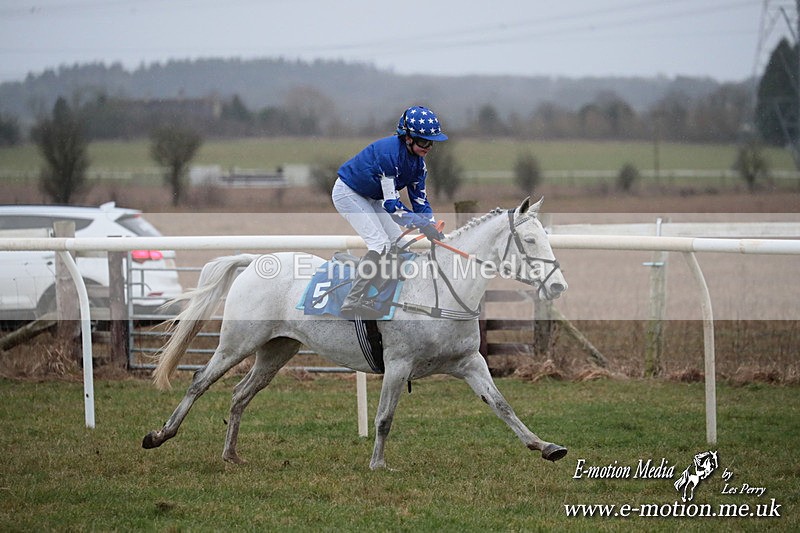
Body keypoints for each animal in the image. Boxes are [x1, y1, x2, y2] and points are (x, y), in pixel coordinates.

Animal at [142, 197, 569, 470]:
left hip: (277, 349)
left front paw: (544, 446)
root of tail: (253, 261)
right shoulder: (398, 364)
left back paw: (231, 455)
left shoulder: (469, 363)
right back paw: (160, 435)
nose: (558, 287)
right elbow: (384, 417)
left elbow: (502, 405)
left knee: (240, 394)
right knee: (200, 381)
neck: (439, 290)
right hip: (237, 342)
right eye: (530, 240)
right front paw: (378, 463)